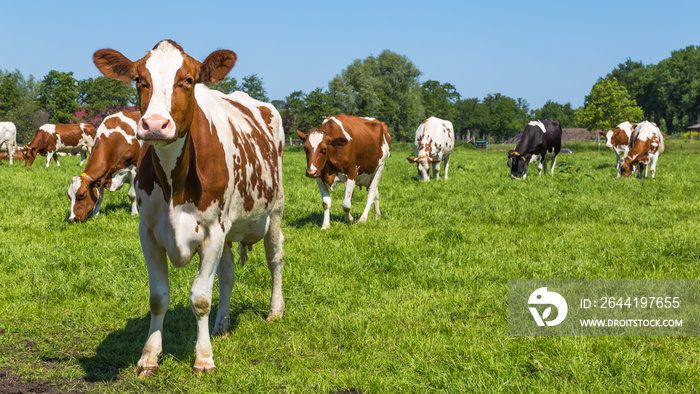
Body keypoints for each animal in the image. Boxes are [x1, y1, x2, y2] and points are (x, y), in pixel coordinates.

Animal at [94, 40, 286, 376]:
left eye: (187, 80)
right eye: (139, 79)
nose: (155, 125)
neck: (175, 182)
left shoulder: (212, 233)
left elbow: (200, 298)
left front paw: (203, 359)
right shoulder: (149, 233)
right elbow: (158, 297)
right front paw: (149, 357)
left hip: (274, 210)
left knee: (275, 259)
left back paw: (275, 311)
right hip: (229, 229)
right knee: (228, 275)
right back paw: (221, 325)